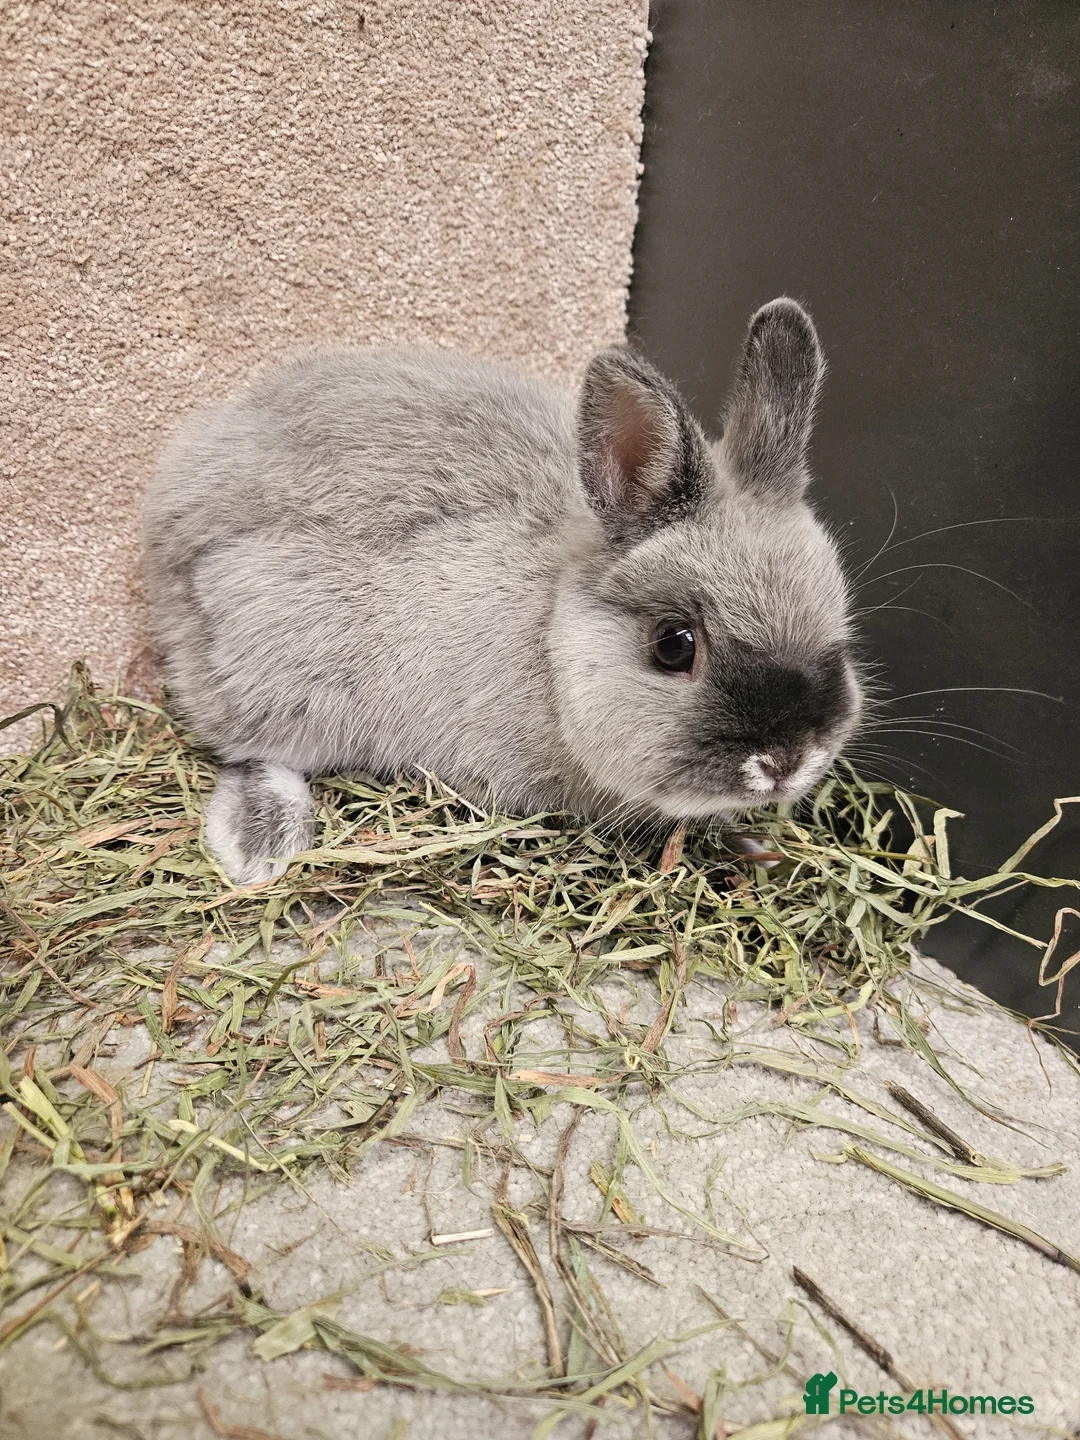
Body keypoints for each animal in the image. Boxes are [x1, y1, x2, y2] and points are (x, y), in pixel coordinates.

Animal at [142, 298, 862, 885]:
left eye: (841, 635)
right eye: (674, 645)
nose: (784, 761)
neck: (550, 639)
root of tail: (176, 502)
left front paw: (751, 844)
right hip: (278, 672)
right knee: (249, 751)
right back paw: (259, 844)